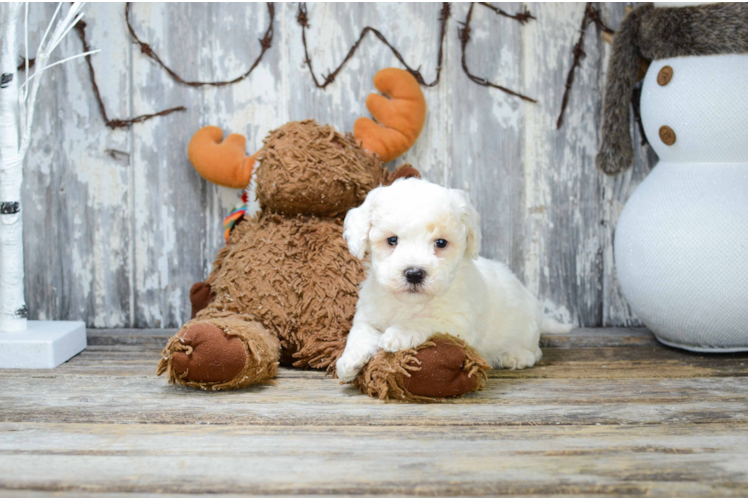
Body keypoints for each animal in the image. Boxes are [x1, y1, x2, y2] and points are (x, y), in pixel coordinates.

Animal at [336, 179, 568, 382]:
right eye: (392, 240)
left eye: (441, 243)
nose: (414, 273)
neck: (409, 303)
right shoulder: (367, 312)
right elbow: (360, 331)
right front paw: (350, 360)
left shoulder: (458, 324)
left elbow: (427, 321)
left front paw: (400, 333)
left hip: (527, 330)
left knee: (534, 351)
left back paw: (516, 356)